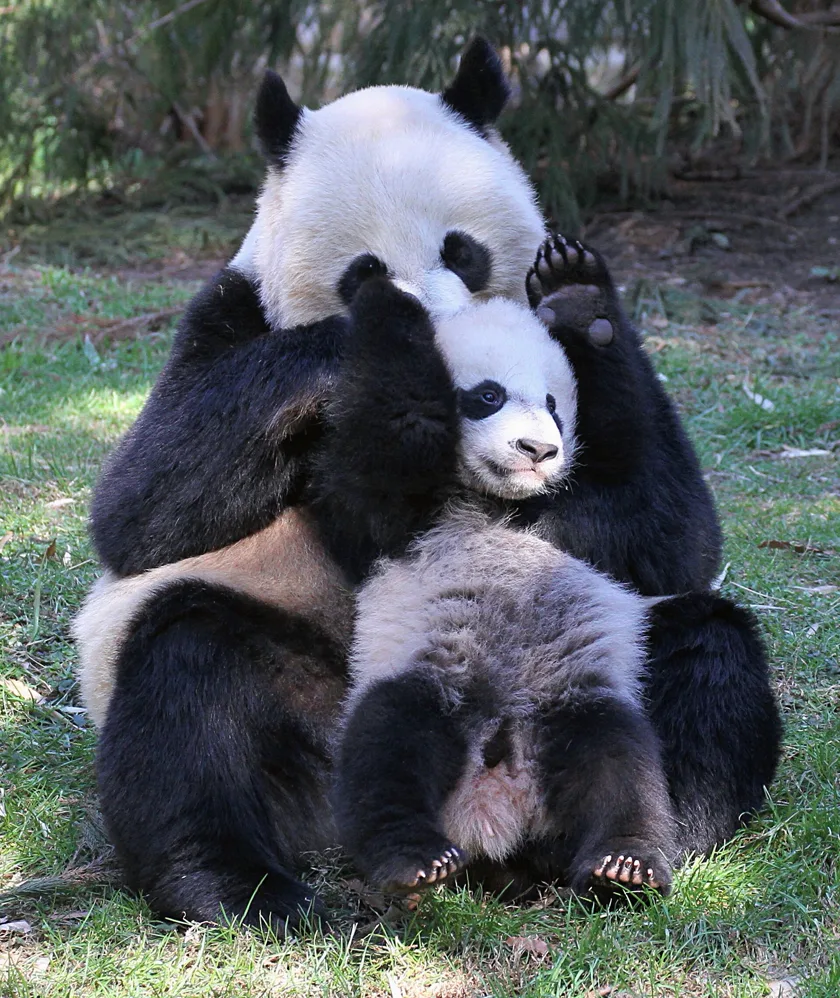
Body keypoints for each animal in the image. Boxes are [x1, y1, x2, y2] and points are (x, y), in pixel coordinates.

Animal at [326, 282, 678, 899]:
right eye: (488, 396)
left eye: (555, 405)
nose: (537, 450)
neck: (501, 504)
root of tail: (496, 801)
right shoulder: (399, 513)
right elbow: (393, 434)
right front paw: (389, 294)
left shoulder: (597, 522)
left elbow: (670, 537)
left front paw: (585, 305)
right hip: (435, 677)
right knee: (387, 740)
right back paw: (414, 859)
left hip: (572, 697)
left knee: (621, 762)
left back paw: (624, 863)